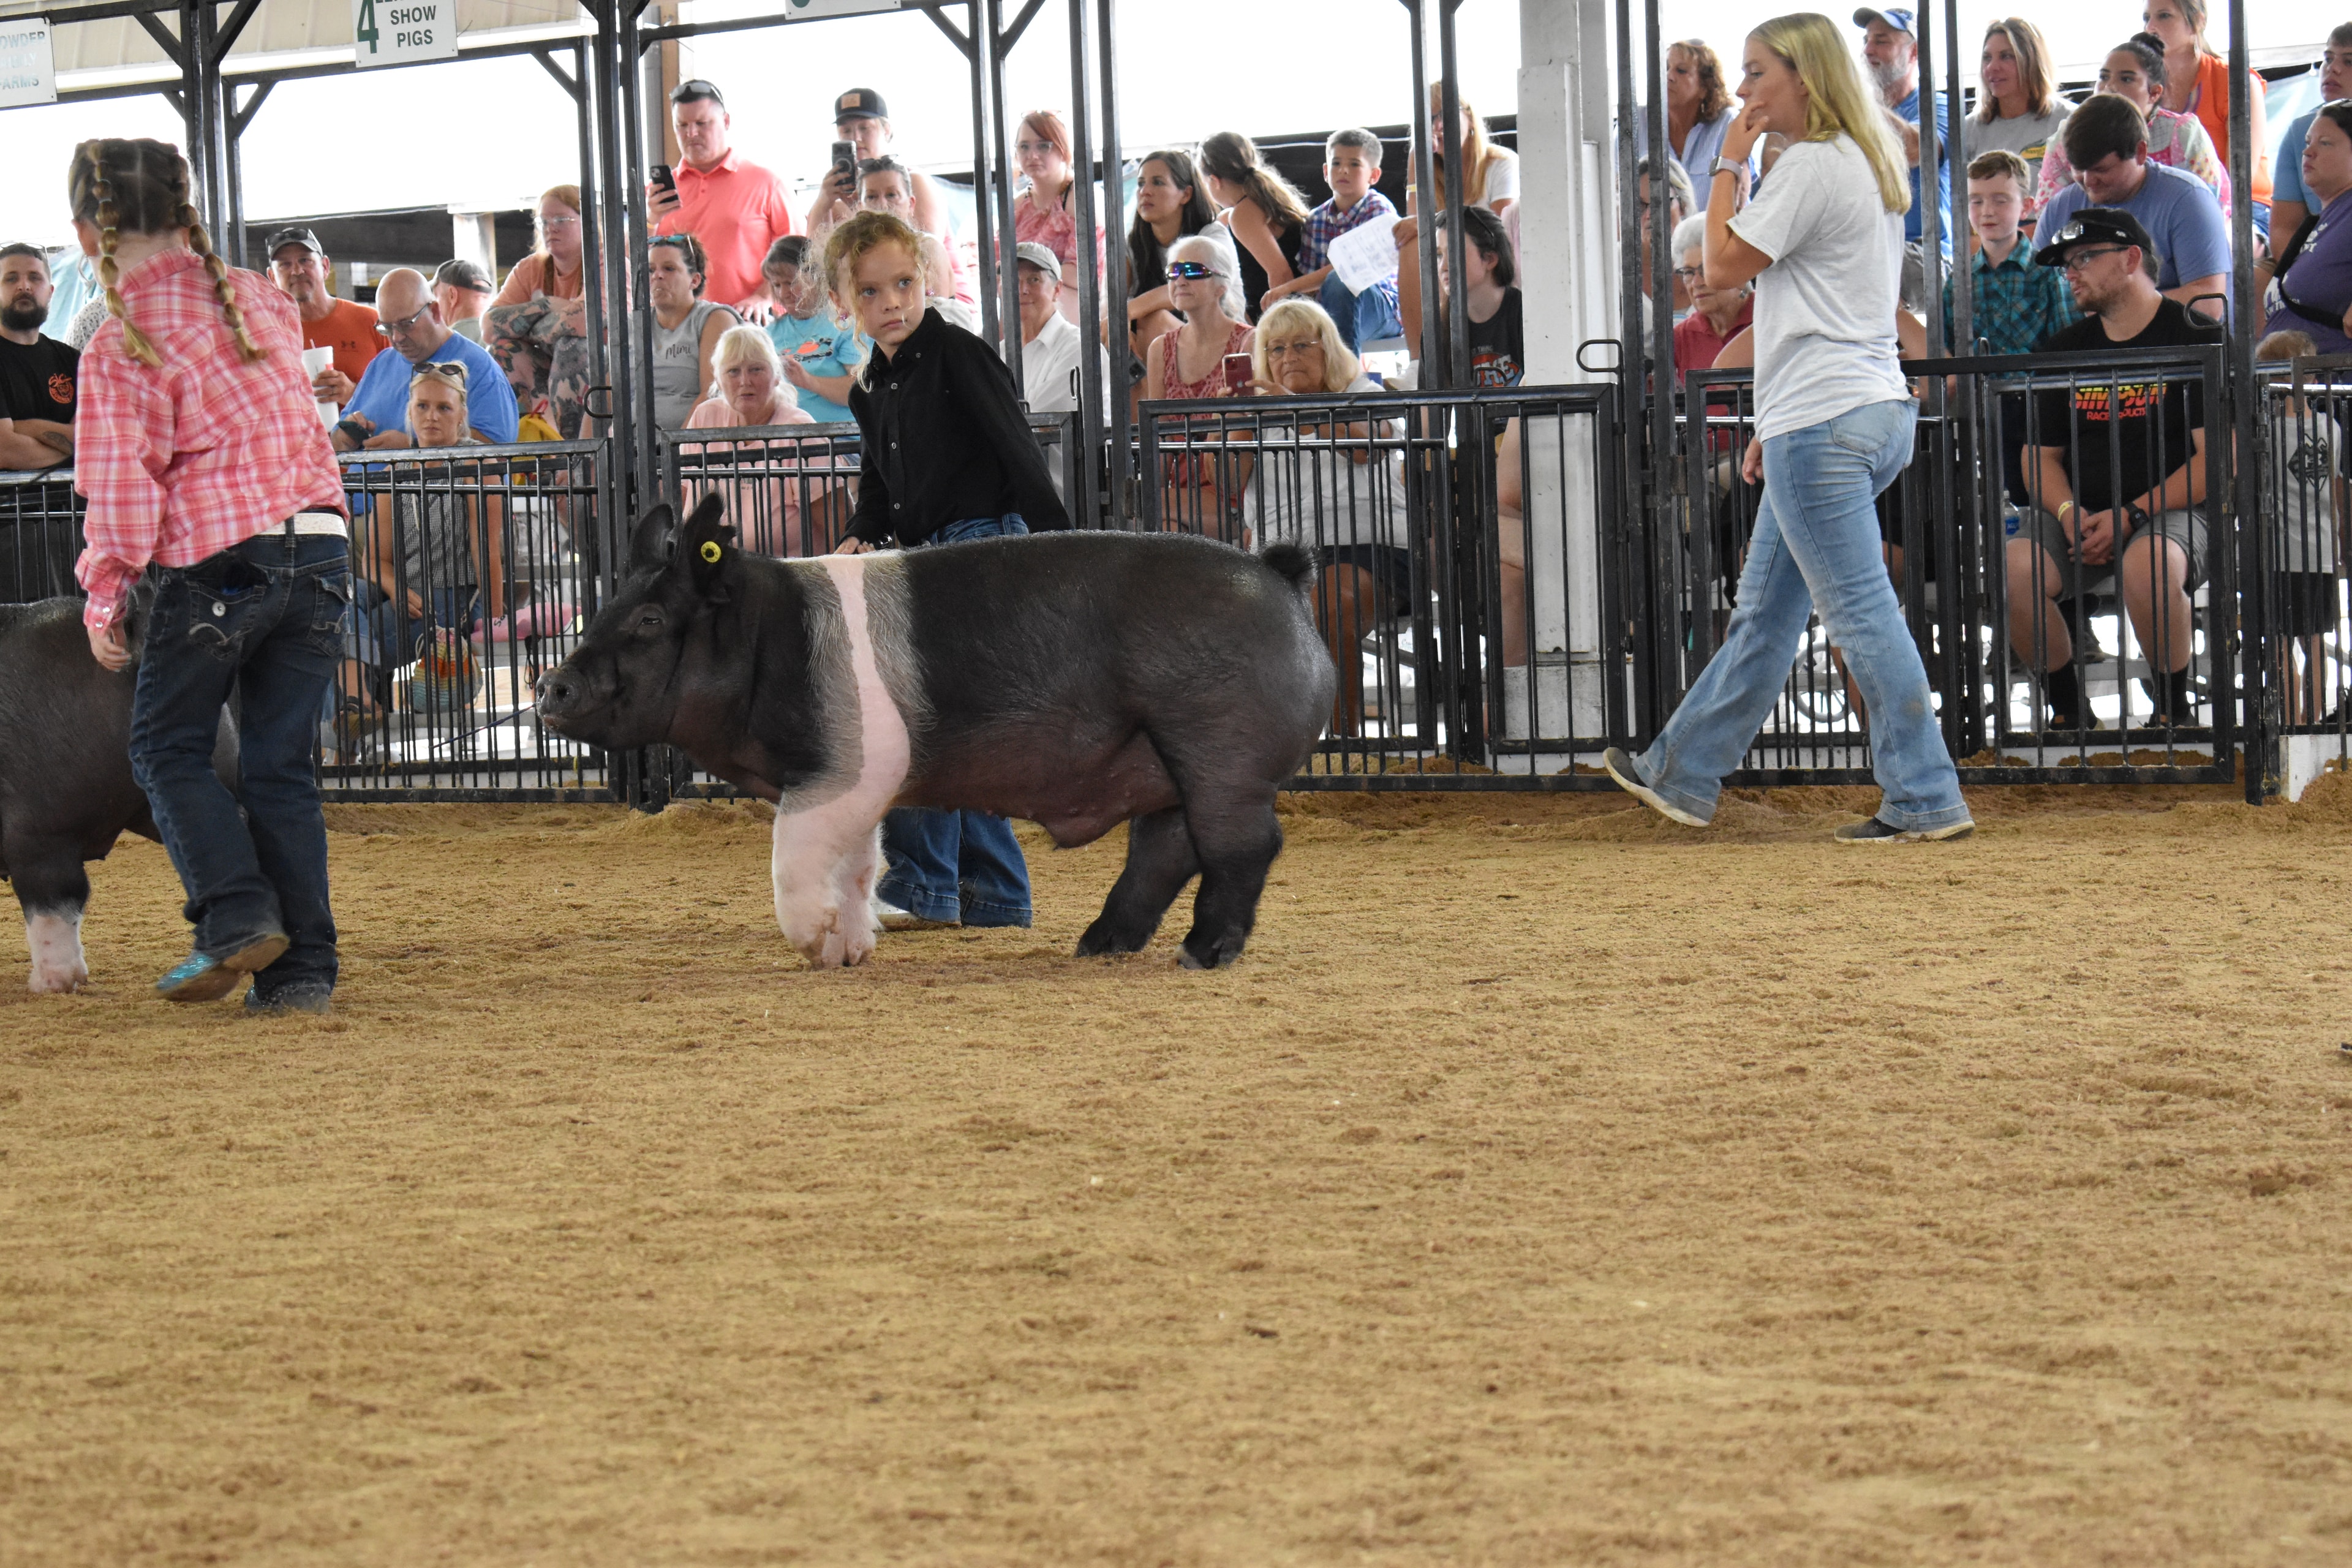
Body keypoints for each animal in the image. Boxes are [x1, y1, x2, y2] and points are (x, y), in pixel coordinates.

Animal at [535, 496, 1334, 970]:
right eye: (605, 606)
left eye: (649, 620)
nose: (548, 686)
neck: (768, 640)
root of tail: (1278, 576)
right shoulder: (853, 782)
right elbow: (858, 863)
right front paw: (851, 951)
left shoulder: (851, 765)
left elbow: (793, 856)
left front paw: (813, 942)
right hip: (1164, 763)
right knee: (1165, 847)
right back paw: (1096, 946)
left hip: (1220, 750)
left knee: (1243, 846)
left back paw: (1202, 953)